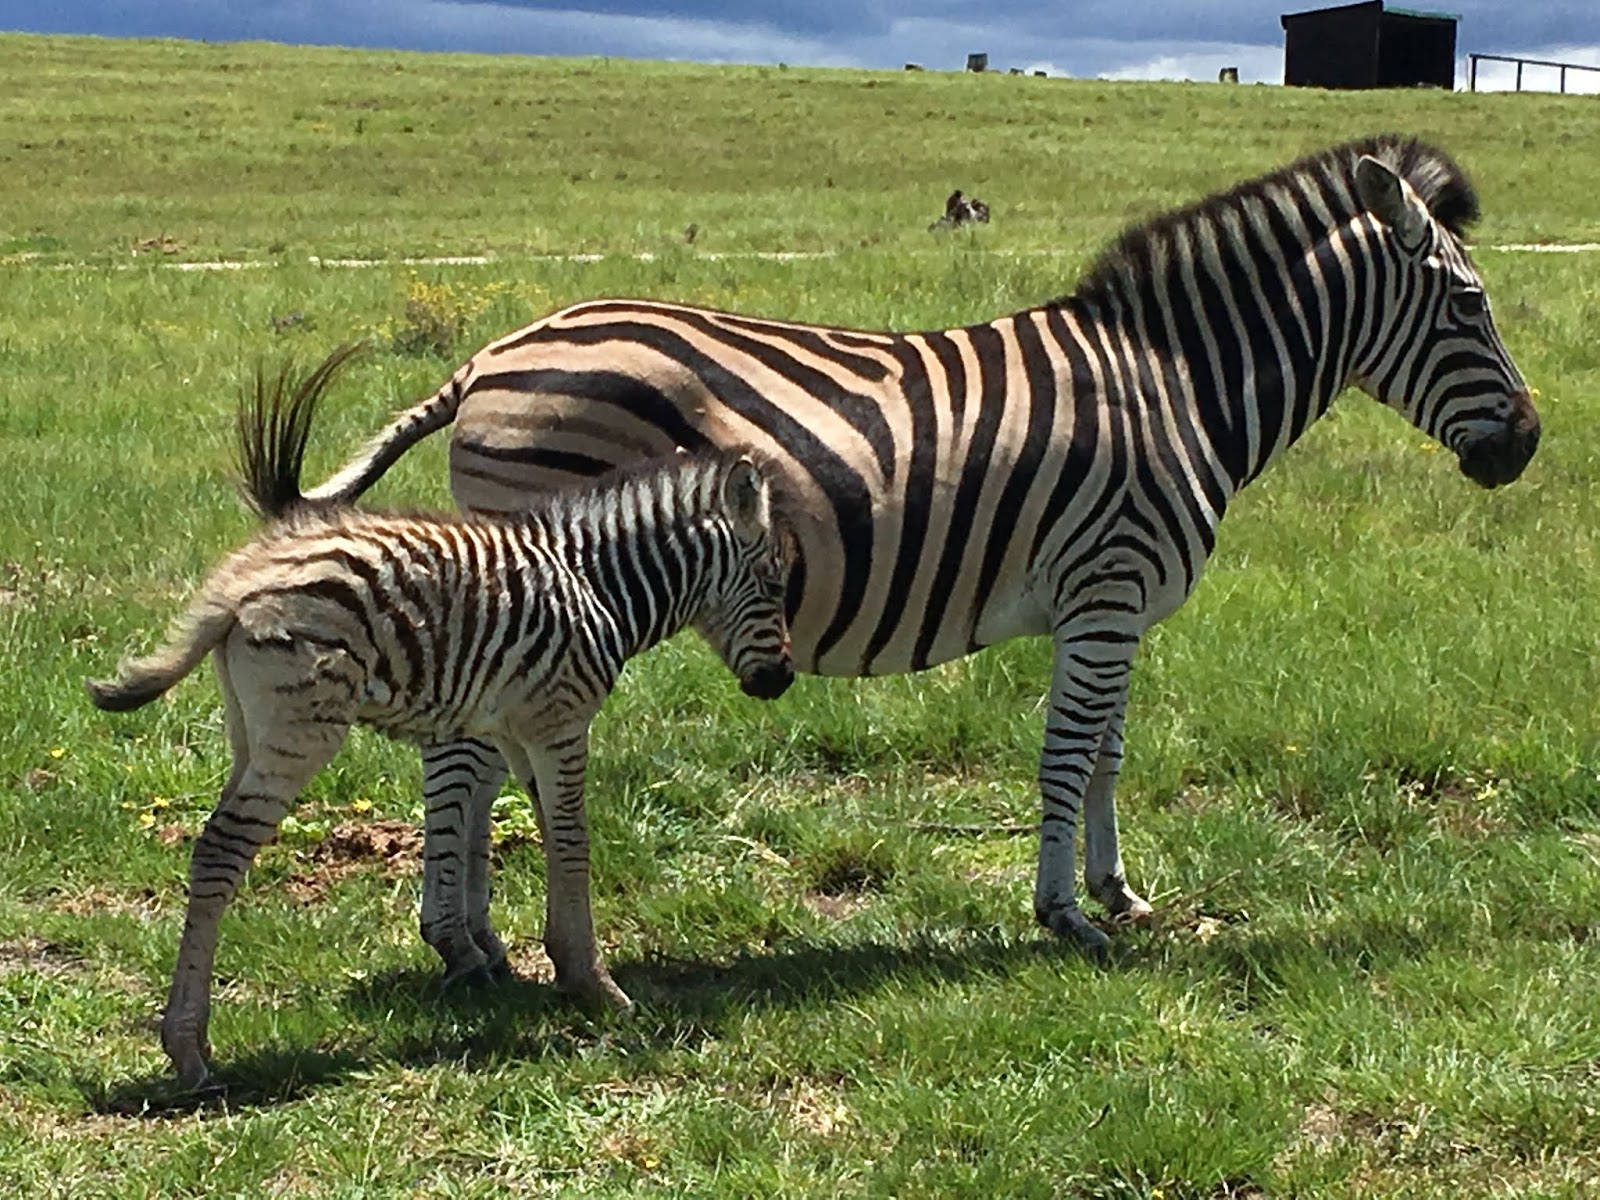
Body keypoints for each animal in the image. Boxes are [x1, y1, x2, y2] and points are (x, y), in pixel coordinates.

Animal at [84, 347, 796, 1088]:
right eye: (776, 581)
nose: (780, 681)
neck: (597, 585)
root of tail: (239, 583)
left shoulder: (516, 729)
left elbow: (547, 835)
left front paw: (564, 966)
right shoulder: (561, 719)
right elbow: (573, 840)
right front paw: (597, 986)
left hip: (248, 729)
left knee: (215, 844)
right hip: (301, 729)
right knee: (222, 848)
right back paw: (189, 1050)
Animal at [302, 136, 1536, 972]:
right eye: (1470, 308)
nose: (1524, 446)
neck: (1179, 386)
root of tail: (488, 355)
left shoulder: (1119, 606)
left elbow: (1108, 755)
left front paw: (1118, 893)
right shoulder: (1104, 590)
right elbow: (1065, 755)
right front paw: (1063, 914)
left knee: (467, 751)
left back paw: (470, 939)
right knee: (460, 756)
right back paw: (463, 945)